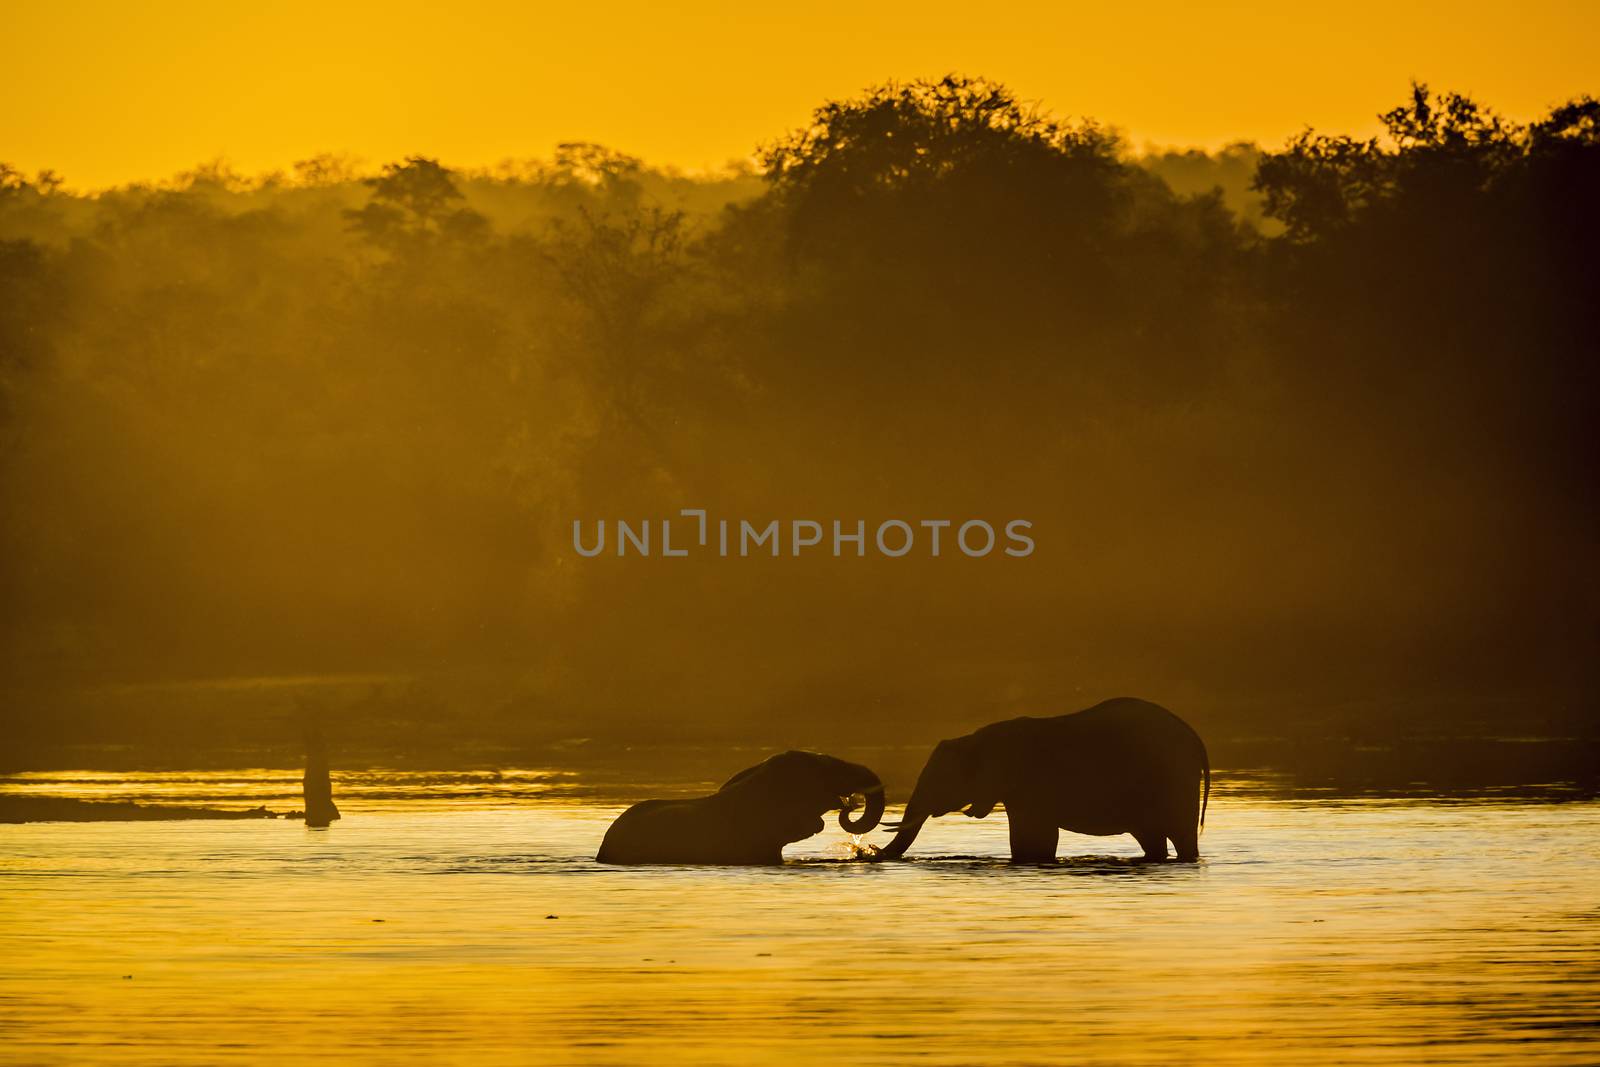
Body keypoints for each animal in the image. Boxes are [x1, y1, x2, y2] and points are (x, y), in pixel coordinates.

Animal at [870, 700, 1203, 870]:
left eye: (941, 780)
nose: (868, 851)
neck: (977, 738)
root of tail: (1195, 738)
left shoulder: (1028, 784)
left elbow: (1035, 837)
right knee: (1151, 838)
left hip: (1175, 781)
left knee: (1182, 836)